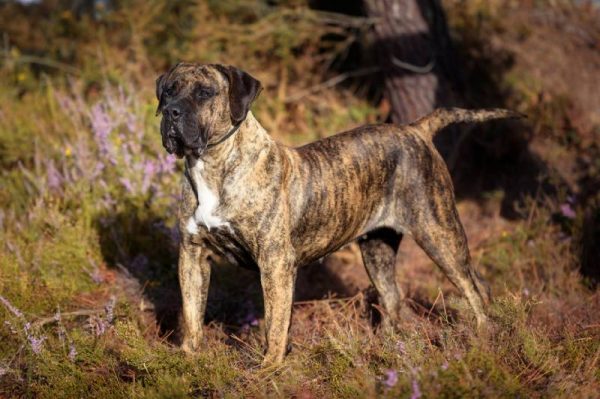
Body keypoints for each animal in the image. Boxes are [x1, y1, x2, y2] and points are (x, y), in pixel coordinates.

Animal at [155, 61, 520, 366]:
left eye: (205, 93)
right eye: (169, 90)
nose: (171, 112)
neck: (212, 165)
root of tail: (417, 130)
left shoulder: (275, 263)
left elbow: (275, 324)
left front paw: (268, 369)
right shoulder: (192, 254)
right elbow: (192, 313)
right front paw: (185, 359)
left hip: (439, 233)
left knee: (474, 287)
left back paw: (483, 341)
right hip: (377, 250)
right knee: (394, 297)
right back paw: (389, 349)